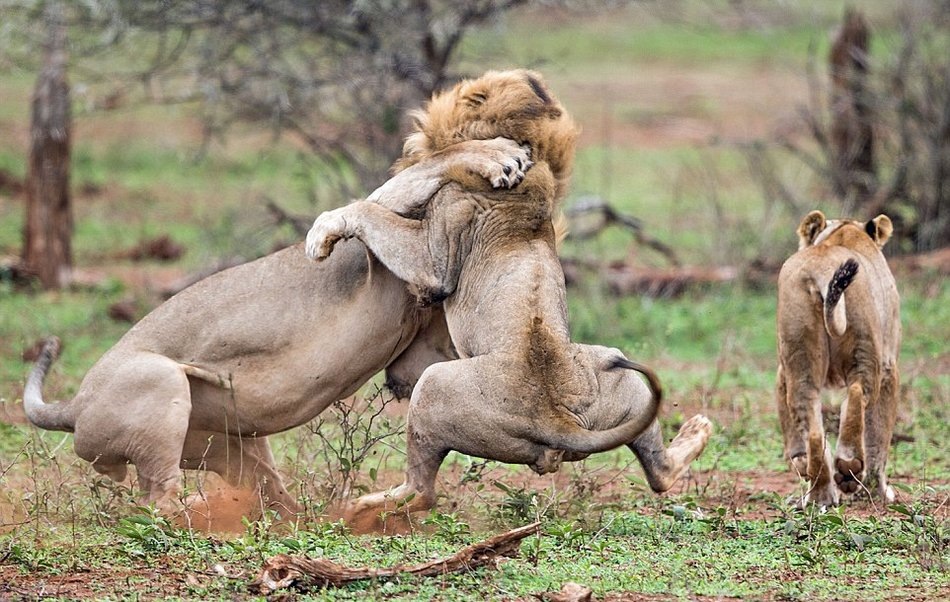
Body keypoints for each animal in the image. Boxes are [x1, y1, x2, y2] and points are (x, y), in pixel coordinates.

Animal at [20, 137, 536, 516]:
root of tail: (74, 405)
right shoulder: (369, 252)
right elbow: (427, 164)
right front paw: (502, 154)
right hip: (158, 379)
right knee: (156, 501)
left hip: (232, 445)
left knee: (262, 493)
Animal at [306, 68, 712, 524]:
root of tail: (557, 420)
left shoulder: (434, 258)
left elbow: (370, 210)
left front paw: (322, 234)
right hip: (621, 379)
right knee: (660, 471)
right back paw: (698, 430)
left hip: (434, 386)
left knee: (421, 491)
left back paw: (360, 507)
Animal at [776, 209, 904, 504]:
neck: (844, 232)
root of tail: (821, 265)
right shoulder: (890, 365)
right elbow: (879, 435)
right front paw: (880, 491)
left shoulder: (781, 369)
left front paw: (800, 463)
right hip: (866, 347)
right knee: (858, 393)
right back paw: (848, 468)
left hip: (798, 350)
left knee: (809, 420)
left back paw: (819, 494)